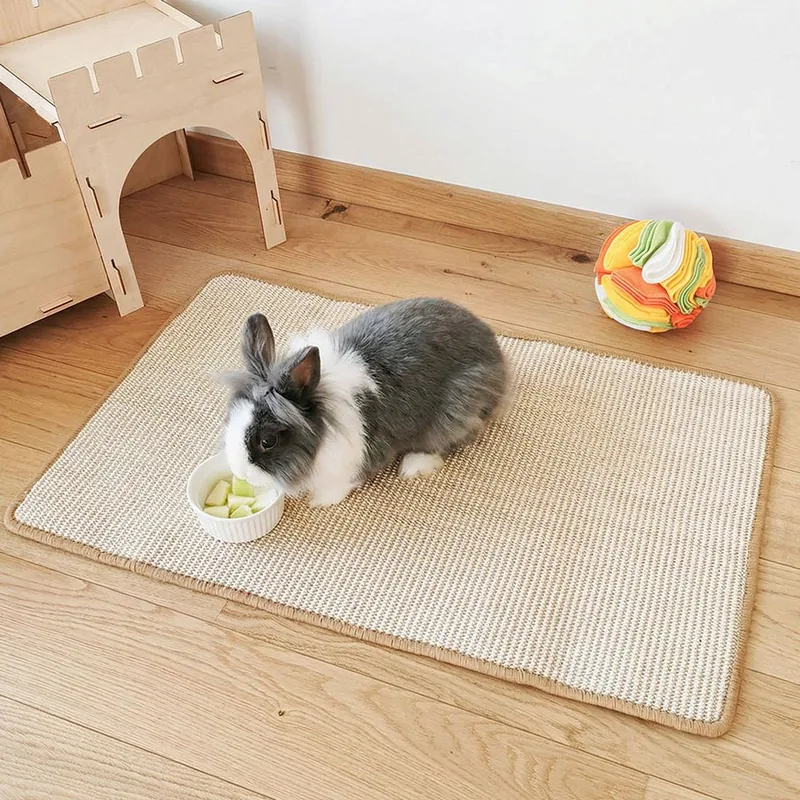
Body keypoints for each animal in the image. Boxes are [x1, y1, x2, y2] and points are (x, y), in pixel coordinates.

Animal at [223, 297, 509, 507]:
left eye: (268, 441)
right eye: (229, 419)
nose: (240, 471)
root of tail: (497, 355)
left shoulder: (357, 458)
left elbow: (345, 482)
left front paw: (321, 501)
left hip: (456, 409)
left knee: (451, 439)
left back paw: (414, 465)